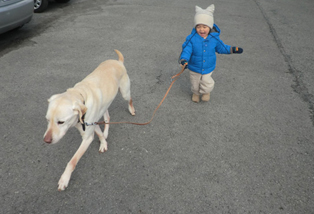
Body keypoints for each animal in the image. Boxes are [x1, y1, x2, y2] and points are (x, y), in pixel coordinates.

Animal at [42, 49, 135, 191]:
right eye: (47, 120)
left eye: (61, 122)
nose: (46, 140)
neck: (81, 95)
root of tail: (118, 61)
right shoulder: (92, 124)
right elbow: (99, 134)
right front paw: (103, 143)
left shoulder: (87, 137)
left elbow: (72, 161)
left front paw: (64, 179)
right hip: (104, 106)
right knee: (107, 117)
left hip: (124, 92)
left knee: (129, 99)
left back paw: (131, 109)